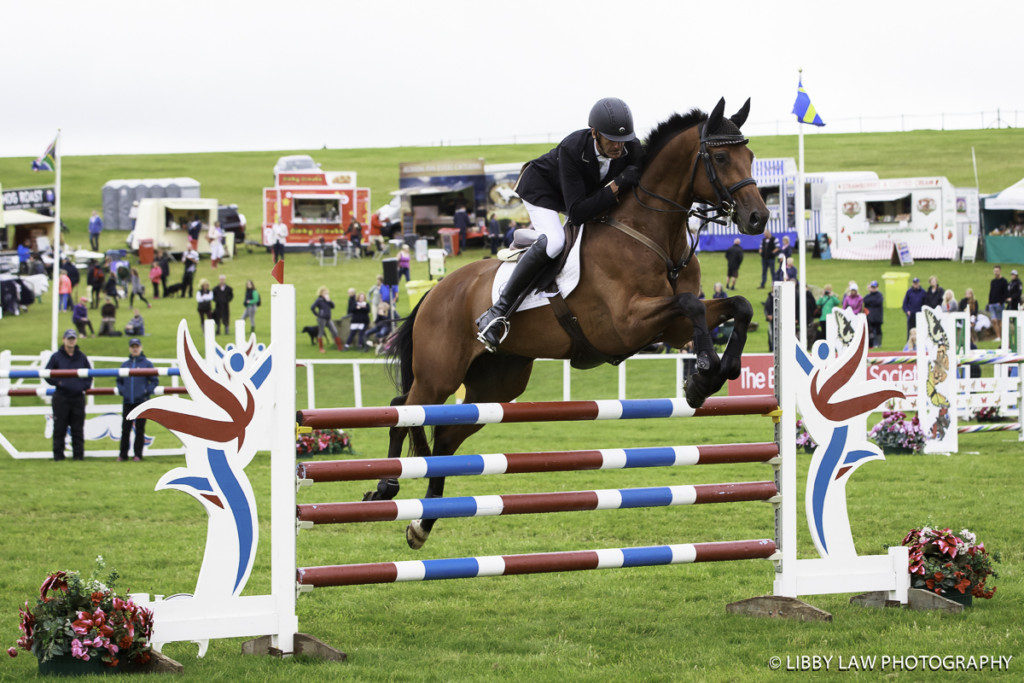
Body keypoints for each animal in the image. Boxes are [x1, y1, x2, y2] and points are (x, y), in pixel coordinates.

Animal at [372, 98, 765, 548]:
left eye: (750, 156)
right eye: (720, 157)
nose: (758, 218)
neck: (654, 234)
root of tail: (435, 291)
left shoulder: (672, 329)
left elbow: (737, 306)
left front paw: (716, 374)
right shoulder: (626, 323)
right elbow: (690, 305)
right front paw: (702, 373)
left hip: (497, 383)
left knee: (443, 439)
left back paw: (422, 521)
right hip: (440, 373)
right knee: (405, 407)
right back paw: (388, 487)